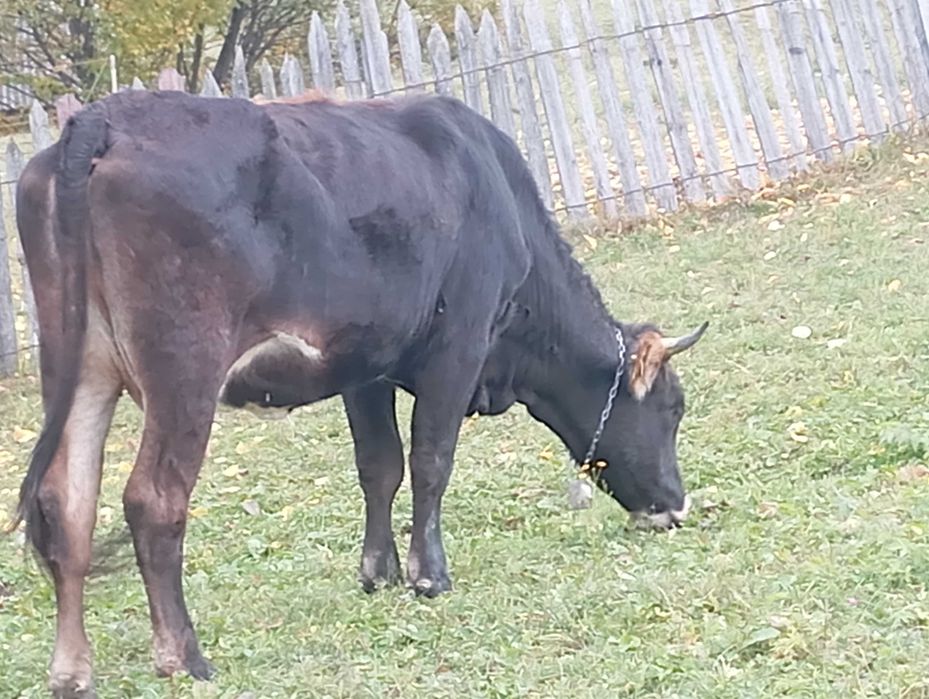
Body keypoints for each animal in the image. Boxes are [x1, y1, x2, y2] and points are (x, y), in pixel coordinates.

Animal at [9, 89, 706, 697]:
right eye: (673, 409)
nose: (676, 505)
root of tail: (107, 116)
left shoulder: (365, 368)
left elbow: (379, 466)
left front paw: (379, 571)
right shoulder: (458, 347)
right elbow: (430, 461)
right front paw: (429, 576)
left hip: (80, 365)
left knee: (67, 503)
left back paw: (71, 670)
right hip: (185, 366)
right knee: (154, 499)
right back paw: (183, 656)